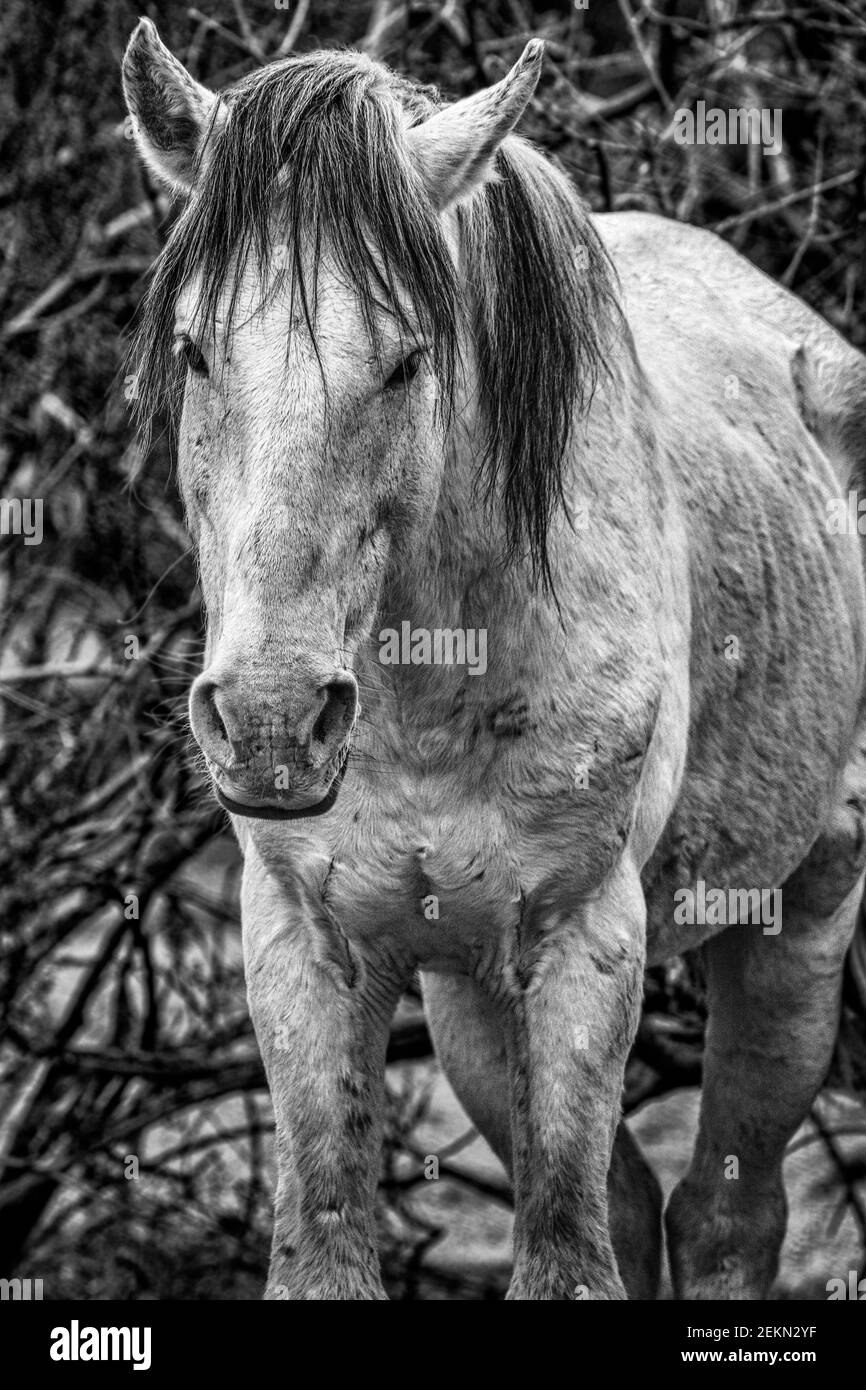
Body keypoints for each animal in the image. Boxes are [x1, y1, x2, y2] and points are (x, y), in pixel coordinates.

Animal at [122, 18, 866, 1300]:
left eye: (406, 360)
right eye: (194, 350)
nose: (270, 724)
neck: (427, 690)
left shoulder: (584, 939)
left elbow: (566, 1253)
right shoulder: (304, 944)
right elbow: (334, 1243)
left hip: (802, 910)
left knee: (725, 1217)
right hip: (466, 985)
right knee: (633, 1206)